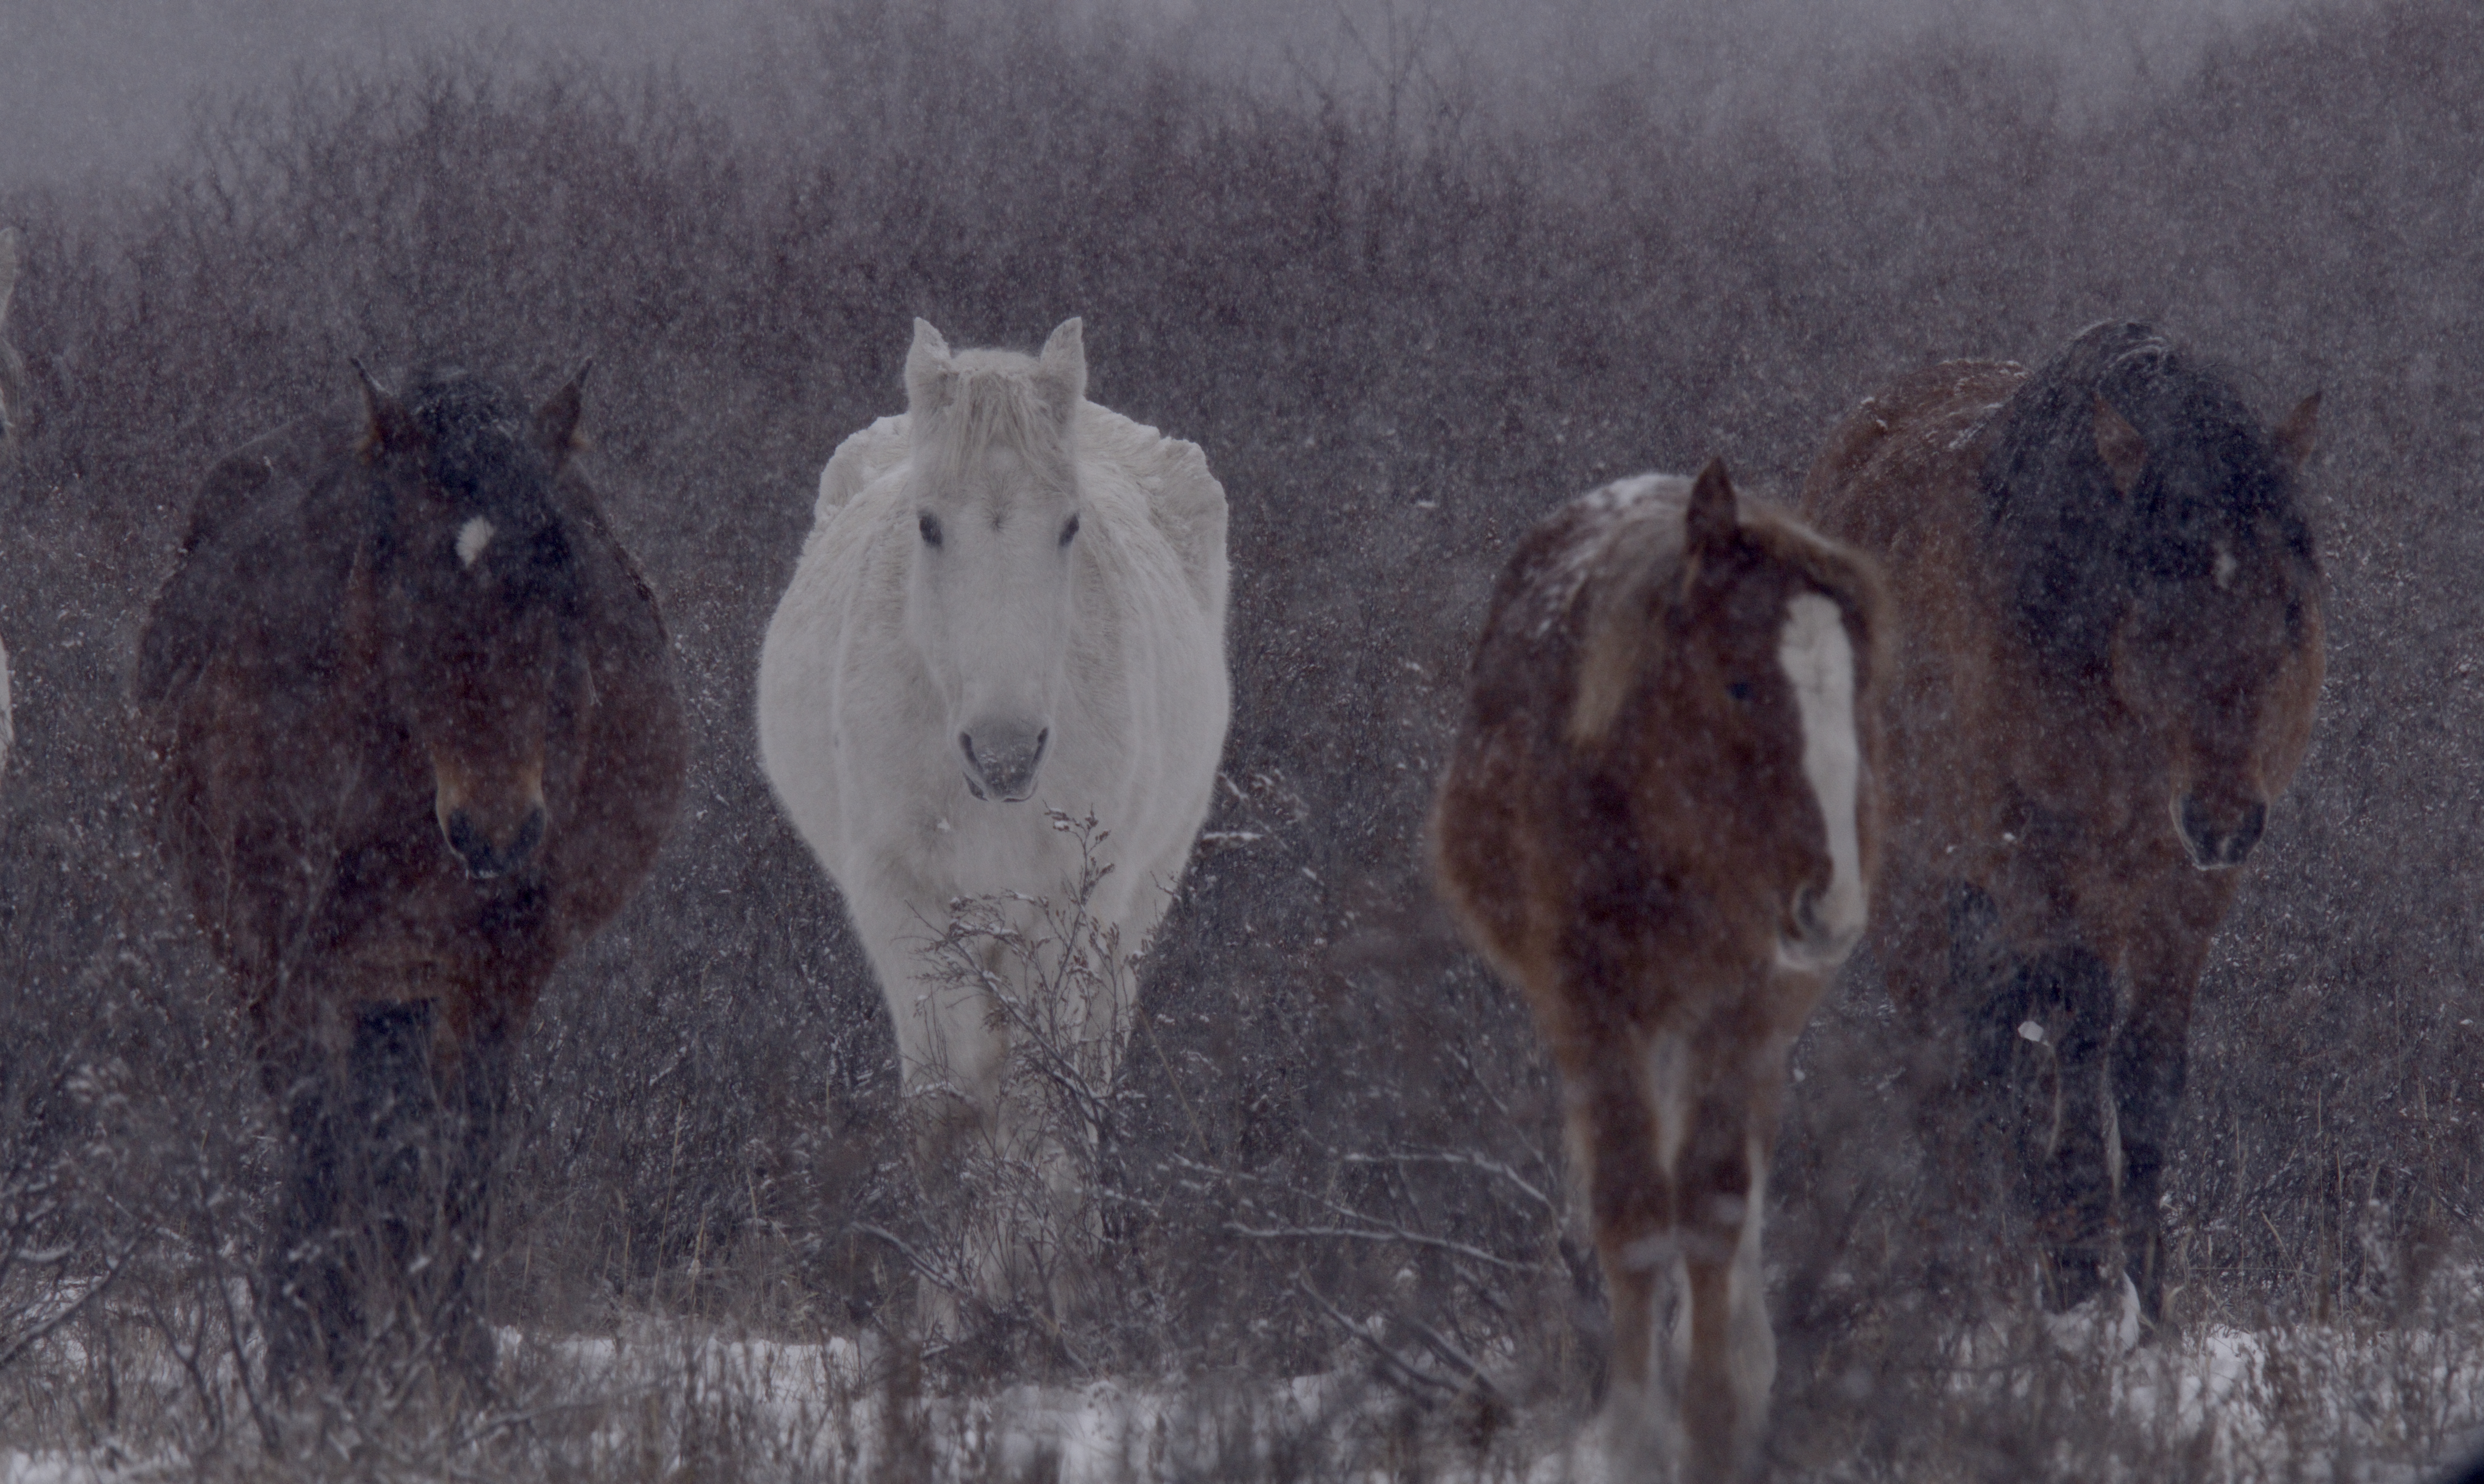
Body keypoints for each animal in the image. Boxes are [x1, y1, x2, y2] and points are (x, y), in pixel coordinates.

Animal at [137, 363, 687, 1391]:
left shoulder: (496, 972)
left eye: (561, 573)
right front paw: (318, 1365)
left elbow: (459, 1159)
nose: (499, 828)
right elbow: (328, 1150)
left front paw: (451, 1365)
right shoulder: (288, 960)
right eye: (416, 583)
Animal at [757, 318, 1229, 1322]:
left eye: (1070, 525)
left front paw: (1045, 1294)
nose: (1005, 753)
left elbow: (1038, 1098)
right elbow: (949, 1108)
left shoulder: (1065, 914)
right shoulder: (901, 905)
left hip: (1132, 905)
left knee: (1085, 1071)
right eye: (929, 525)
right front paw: (955, 1307)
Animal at [1433, 459, 1887, 1479]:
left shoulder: (1746, 1002)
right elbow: (1635, 1214)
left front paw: (1716, 1422)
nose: (1831, 901)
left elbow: (1716, 1203)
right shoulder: (1592, 1008)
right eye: (1740, 682)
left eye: (1857, 693)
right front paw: (1637, 1434)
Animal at [1799, 321, 2323, 1335]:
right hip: (1916, 892)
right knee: (1952, 1074)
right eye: (2156, 608)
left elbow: (2146, 1073)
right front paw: (2081, 1279)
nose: (2224, 817)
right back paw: (1979, 1274)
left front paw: (2147, 1302)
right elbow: (2077, 1050)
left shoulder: (2183, 891)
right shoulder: (2044, 873)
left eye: (2287, 605)